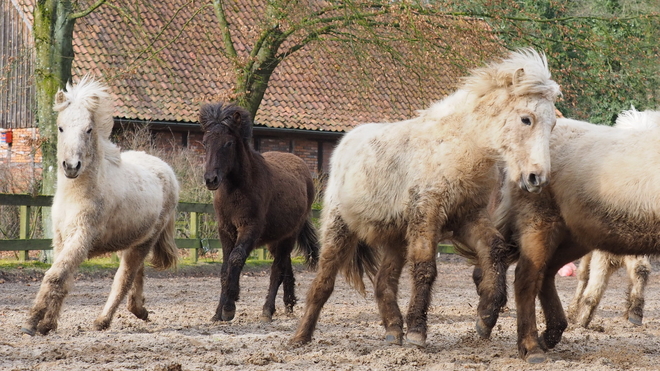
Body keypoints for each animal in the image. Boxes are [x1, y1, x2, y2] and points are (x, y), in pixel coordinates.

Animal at [21, 76, 179, 338]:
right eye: (61, 127)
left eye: (89, 129)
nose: (71, 166)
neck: (76, 194)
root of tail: (167, 171)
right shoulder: (60, 239)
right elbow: (65, 278)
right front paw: (48, 324)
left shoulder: (82, 236)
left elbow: (55, 276)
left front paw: (32, 323)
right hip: (131, 240)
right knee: (137, 272)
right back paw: (139, 310)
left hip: (146, 240)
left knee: (124, 277)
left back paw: (103, 321)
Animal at [201, 101, 320, 322]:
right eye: (205, 143)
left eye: (228, 143)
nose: (211, 179)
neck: (236, 189)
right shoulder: (225, 229)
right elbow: (224, 268)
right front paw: (218, 312)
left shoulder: (250, 228)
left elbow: (236, 259)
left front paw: (229, 307)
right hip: (276, 238)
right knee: (285, 265)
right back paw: (288, 304)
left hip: (289, 235)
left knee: (277, 269)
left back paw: (268, 310)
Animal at [292, 48, 560, 348]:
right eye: (526, 119)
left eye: (552, 124)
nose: (537, 178)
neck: (460, 146)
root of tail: (345, 143)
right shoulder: (427, 216)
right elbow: (425, 268)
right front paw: (418, 332)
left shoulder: (467, 218)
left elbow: (495, 251)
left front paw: (486, 318)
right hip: (339, 228)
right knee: (323, 282)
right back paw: (300, 337)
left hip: (396, 237)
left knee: (384, 282)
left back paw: (393, 331)